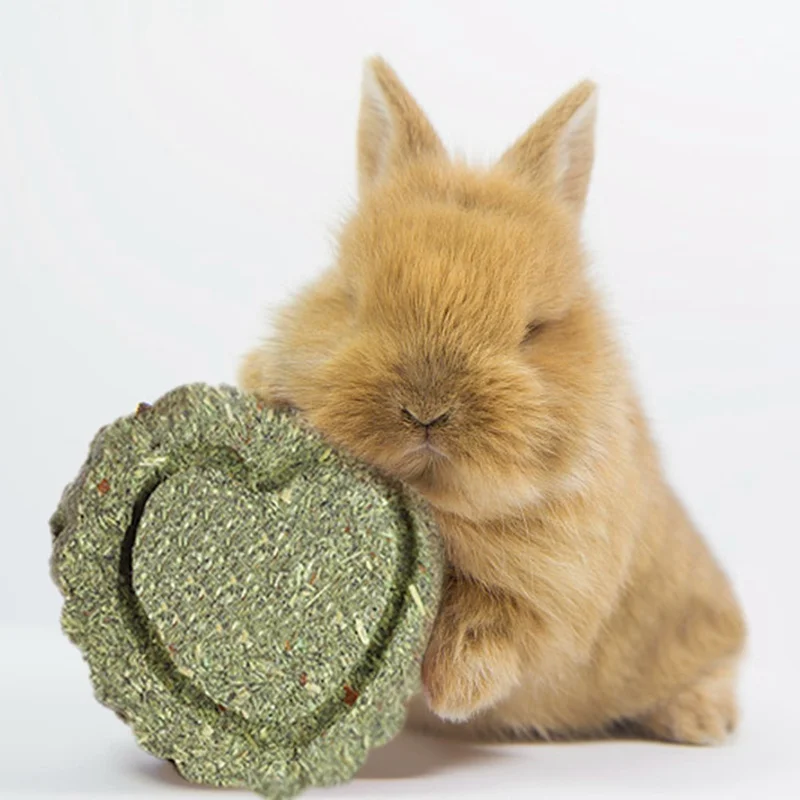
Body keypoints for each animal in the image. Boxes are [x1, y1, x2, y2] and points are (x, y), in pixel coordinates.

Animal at [239, 57, 746, 745]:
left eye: (535, 329)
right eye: (350, 298)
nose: (426, 409)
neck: (440, 497)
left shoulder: (549, 590)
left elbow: (490, 630)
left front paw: (449, 693)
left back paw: (701, 722)